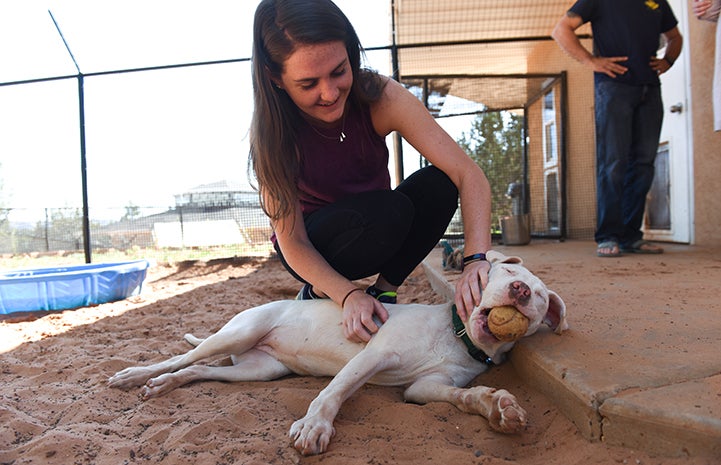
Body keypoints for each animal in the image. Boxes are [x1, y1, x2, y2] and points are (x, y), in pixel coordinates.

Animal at [108, 250, 568, 454]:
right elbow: (332, 393)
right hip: (239, 332)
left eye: (540, 299)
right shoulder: (372, 355)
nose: (521, 291)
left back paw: (165, 385)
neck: (457, 335)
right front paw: (314, 427)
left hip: (259, 371)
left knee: (198, 371)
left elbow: (464, 396)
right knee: (183, 358)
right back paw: (136, 376)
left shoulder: (424, 388)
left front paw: (499, 407)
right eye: (506, 271)